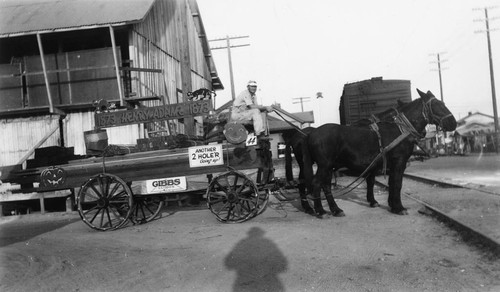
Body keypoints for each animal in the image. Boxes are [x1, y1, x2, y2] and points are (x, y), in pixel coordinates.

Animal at [300, 89, 458, 217]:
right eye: (436, 104)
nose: (453, 123)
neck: (400, 129)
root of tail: (311, 134)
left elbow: (390, 182)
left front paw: (391, 205)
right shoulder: (399, 161)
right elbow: (397, 183)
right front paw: (399, 208)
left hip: (328, 166)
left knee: (325, 185)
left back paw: (335, 209)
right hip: (324, 165)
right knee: (316, 183)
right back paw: (321, 211)